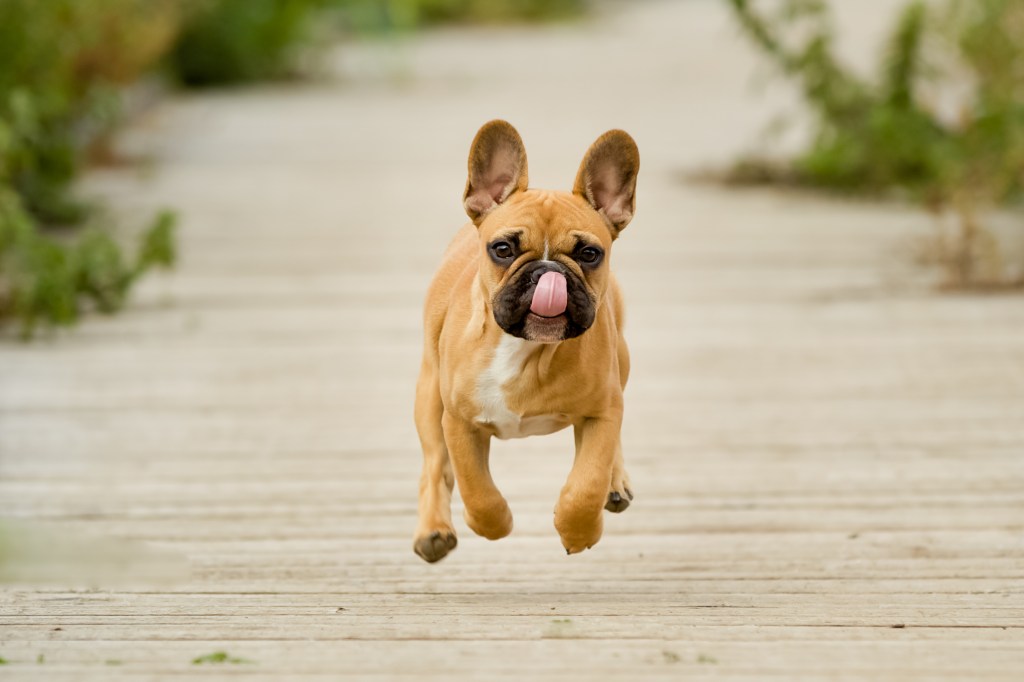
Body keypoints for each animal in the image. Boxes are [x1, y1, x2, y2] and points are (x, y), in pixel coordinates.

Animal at [409, 119, 634, 561]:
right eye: (502, 248)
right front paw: (494, 523)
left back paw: (615, 484)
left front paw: (578, 529)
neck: (528, 351)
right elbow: (475, 488)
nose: (548, 273)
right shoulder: (458, 421)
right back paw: (433, 532)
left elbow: (586, 484)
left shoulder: (602, 411)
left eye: (589, 254)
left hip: (623, 361)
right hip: (428, 397)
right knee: (435, 465)